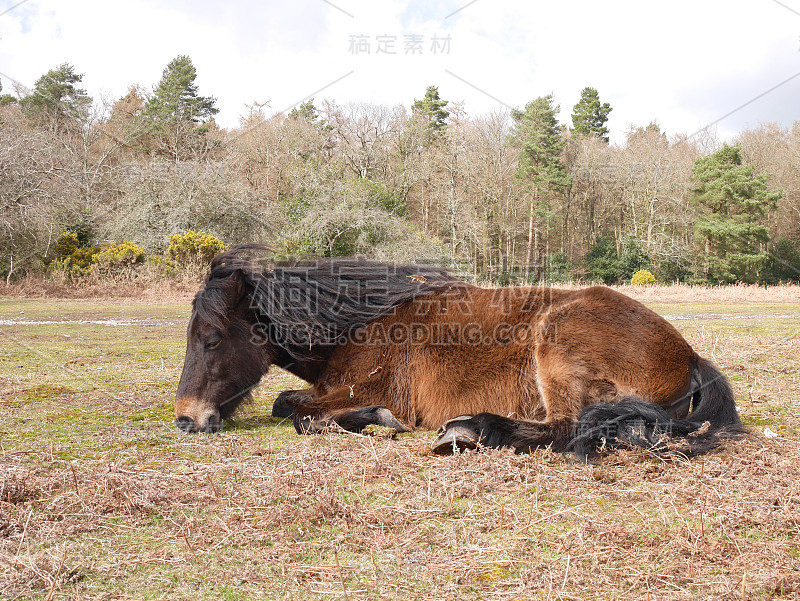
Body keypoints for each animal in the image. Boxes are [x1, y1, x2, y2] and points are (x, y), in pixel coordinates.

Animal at [173, 246, 744, 458]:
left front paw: (377, 420)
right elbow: (286, 403)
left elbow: (302, 415)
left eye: (213, 338)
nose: (185, 418)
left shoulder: (364, 388)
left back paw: (473, 429)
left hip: (554, 341)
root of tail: (688, 355)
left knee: (568, 428)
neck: (363, 323)